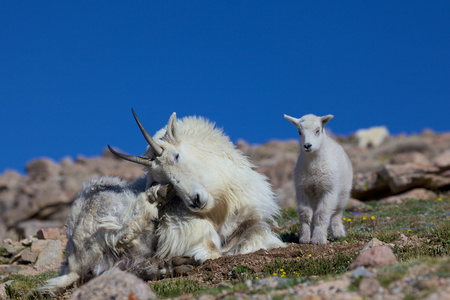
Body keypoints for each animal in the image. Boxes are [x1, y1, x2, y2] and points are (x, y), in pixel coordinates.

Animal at [109, 109, 284, 262]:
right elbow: (208, 244)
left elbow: (257, 233)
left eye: (176, 155)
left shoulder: (247, 215)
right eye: (162, 180)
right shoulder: (179, 224)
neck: (220, 207)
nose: (195, 201)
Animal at [284, 113, 352, 245]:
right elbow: (306, 215)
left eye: (317, 130)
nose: (307, 145)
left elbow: (322, 214)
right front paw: (305, 238)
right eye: (299, 132)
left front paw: (318, 239)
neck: (314, 167)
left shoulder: (328, 191)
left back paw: (338, 233)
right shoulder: (303, 190)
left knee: (336, 213)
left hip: (343, 193)